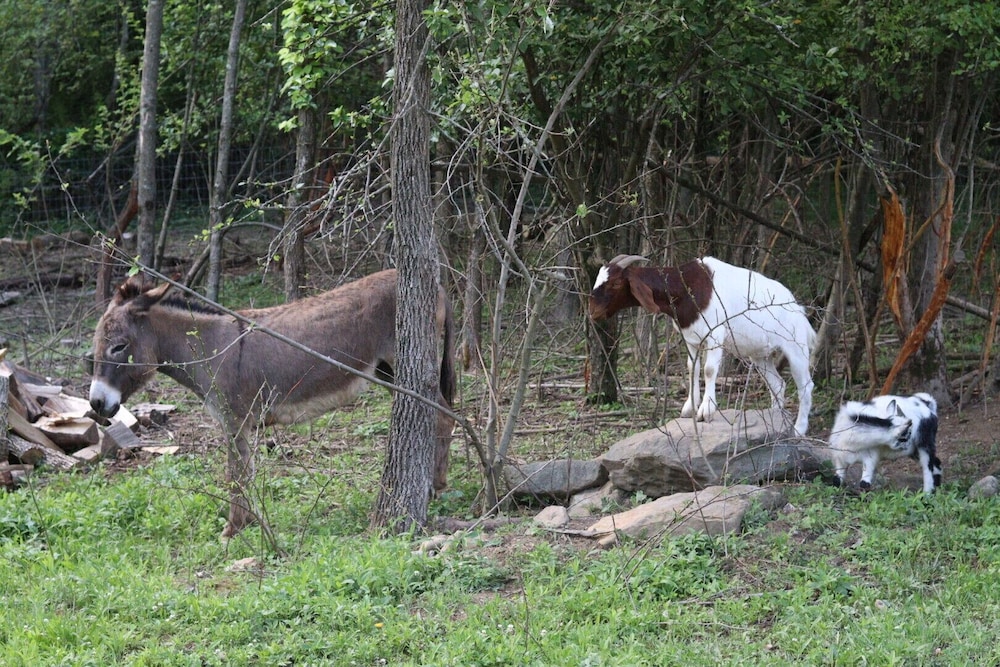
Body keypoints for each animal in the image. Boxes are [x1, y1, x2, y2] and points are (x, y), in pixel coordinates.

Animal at [90, 270, 458, 536]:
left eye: (119, 346)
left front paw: (233, 529)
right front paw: (248, 523)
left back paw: (436, 486)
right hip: (386, 370)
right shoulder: (241, 424)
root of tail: (439, 286)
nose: (96, 404)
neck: (209, 346)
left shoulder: (234, 420)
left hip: (404, 365)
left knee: (445, 416)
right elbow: (245, 471)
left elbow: (235, 474)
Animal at [588, 253, 816, 436]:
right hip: (760, 355)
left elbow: (709, 369)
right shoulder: (690, 338)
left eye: (615, 283)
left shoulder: (715, 334)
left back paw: (798, 429)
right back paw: (775, 420)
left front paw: (706, 410)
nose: (593, 312)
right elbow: (693, 368)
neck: (686, 287)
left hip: (795, 346)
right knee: (777, 384)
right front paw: (690, 407)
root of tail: (797, 308)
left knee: (805, 386)